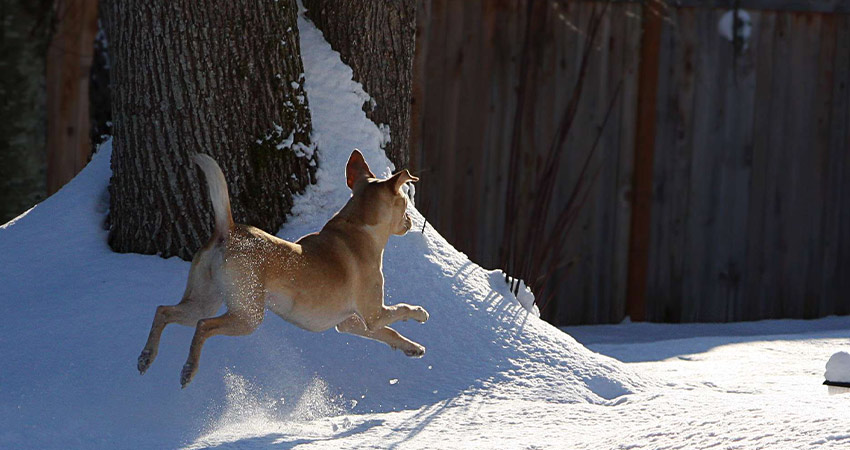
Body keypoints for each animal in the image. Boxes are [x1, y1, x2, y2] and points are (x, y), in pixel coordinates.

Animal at [141, 150, 430, 386]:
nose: (409, 221)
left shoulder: (350, 323)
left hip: (203, 300)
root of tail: (229, 230)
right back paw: (188, 369)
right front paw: (420, 313)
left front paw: (412, 347)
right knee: (203, 326)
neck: (358, 226)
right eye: (405, 202)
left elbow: (388, 332)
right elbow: (400, 311)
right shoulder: (374, 315)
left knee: (163, 311)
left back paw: (146, 357)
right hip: (248, 316)